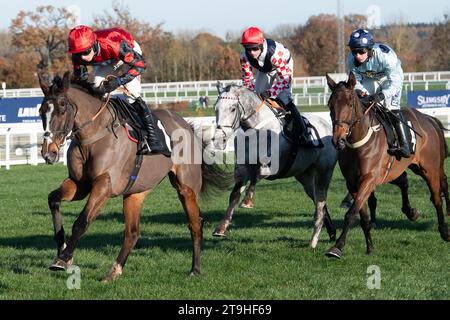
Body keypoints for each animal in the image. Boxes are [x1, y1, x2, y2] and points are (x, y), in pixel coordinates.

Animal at [38, 71, 229, 282]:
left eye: (62, 108)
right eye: (41, 111)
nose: (49, 153)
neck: (93, 136)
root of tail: (186, 124)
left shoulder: (104, 185)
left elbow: (82, 221)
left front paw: (63, 258)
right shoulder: (80, 184)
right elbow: (53, 199)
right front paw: (61, 249)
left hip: (186, 188)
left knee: (195, 224)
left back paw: (195, 269)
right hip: (136, 192)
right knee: (132, 233)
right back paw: (114, 271)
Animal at [211, 83, 338, 248]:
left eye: (233, 109)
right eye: (216, 108)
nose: (218, 140)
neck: (256, 131)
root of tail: (328, 127)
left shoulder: (271, 167)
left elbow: (256, 176)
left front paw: (247, 201)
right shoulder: (241, 168)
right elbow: (234, 195)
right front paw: (221, 227)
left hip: (324, 172)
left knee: (321, 202)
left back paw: (315, 239)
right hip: (305, 177)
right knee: (319, 200)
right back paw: (331, 231)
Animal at [326, 72, 450, 258]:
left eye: (350, 104)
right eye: (330, 104)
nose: (337, 139)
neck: (359, 142)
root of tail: (428, 118)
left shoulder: (369, 179)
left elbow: (351, 214)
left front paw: (337, 247)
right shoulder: (353, 183)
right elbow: (363, 216)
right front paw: (370, 247)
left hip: (430, 169)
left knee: (436, 198)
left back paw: (444, 231)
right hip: (401, 169)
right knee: (405, 181)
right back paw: (411, 212)